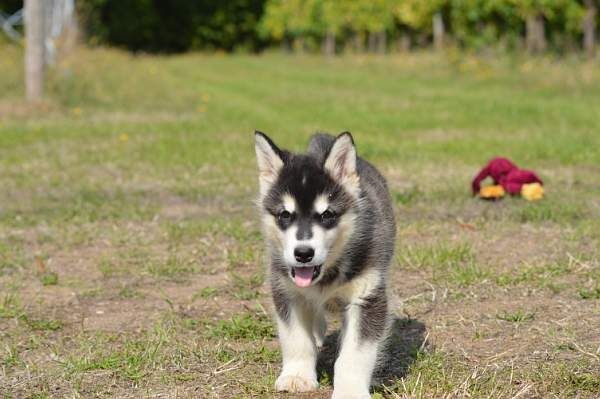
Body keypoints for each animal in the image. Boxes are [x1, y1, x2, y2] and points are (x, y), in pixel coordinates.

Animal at [253, 132, 394, 399]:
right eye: (285, 215)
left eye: (327, 214)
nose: (303, 253)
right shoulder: (287, 291)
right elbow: (296, 339)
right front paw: (297, 376)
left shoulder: (367, 296)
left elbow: (354, 355)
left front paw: (350, 391)